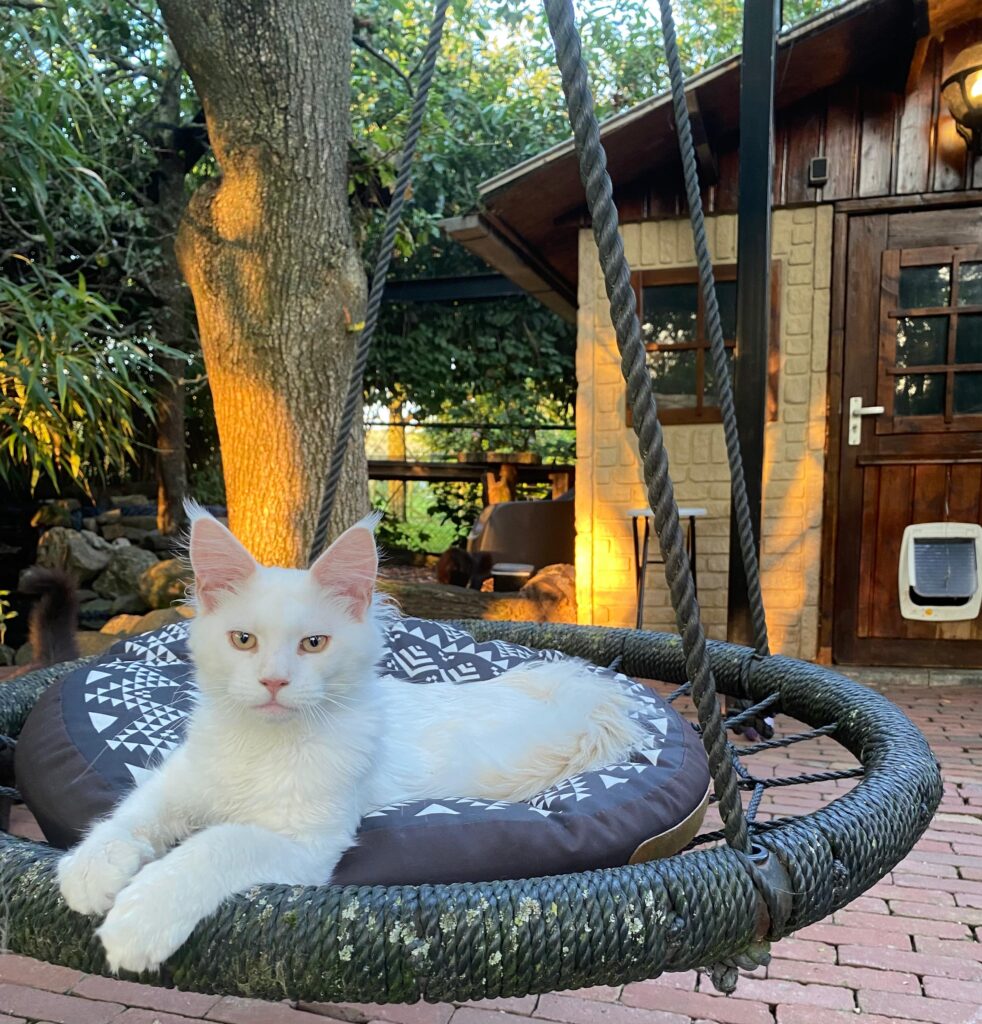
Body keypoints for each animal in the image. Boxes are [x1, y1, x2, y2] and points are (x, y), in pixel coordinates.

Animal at [55, 507, 647, 970]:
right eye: (243, 640)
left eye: (313, 644)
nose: (274, 681)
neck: (263, 746)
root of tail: (584, 693)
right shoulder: (179, 781)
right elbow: (128, 815)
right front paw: (89, 869)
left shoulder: (306, 842)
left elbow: (213, 846)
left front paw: (139, 917)